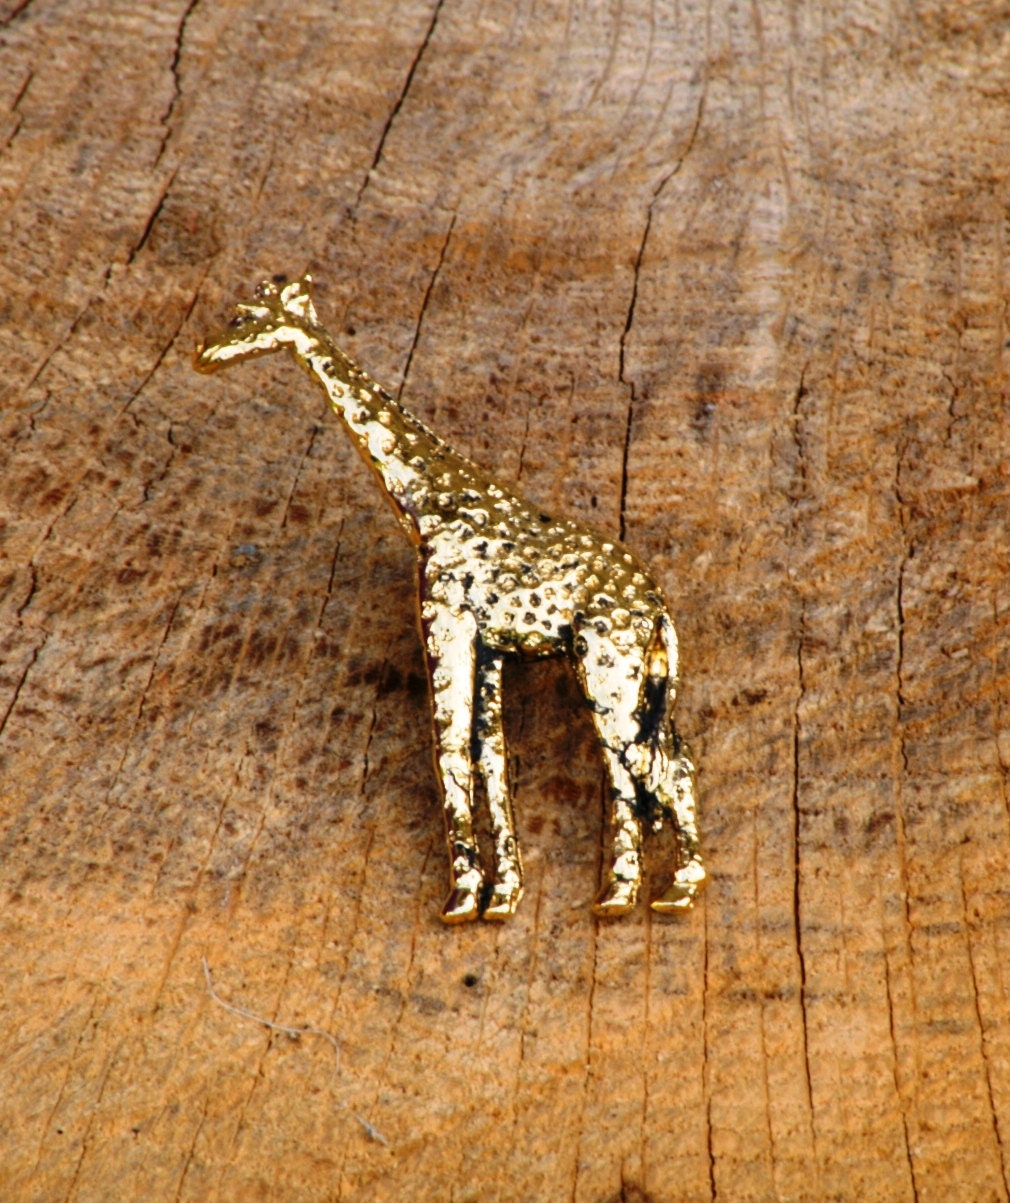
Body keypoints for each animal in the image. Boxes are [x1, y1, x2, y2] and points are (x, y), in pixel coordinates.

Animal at [195, 274, 705, 923]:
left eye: (244, 316)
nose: (203, 352)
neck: (429, 504)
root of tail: (658, 607)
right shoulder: (489, 648)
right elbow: (491, 761)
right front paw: (503, 892)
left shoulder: (447, 626)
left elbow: (452, 753)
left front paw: (464, 894)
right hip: (641, 673)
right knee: (660, 761)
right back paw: (656, 887)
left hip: (607, 663)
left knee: (638, 765)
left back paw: (642, 890)